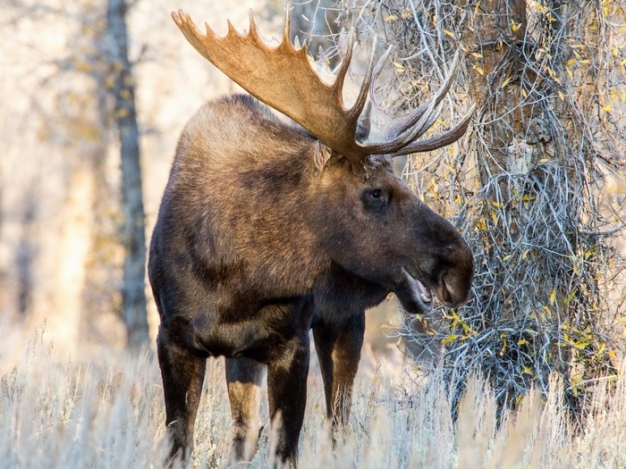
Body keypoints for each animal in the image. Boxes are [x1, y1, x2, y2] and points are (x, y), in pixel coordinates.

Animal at [150, 8, 472, 468]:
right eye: (376, 192)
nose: (460, 265)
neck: (237, 278)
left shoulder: (291, 341)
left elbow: (287, 446)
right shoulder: (173, 338)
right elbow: (182, 444)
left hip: (341, 322)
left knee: (338, 423)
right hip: (246, 354)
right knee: (245, 432)